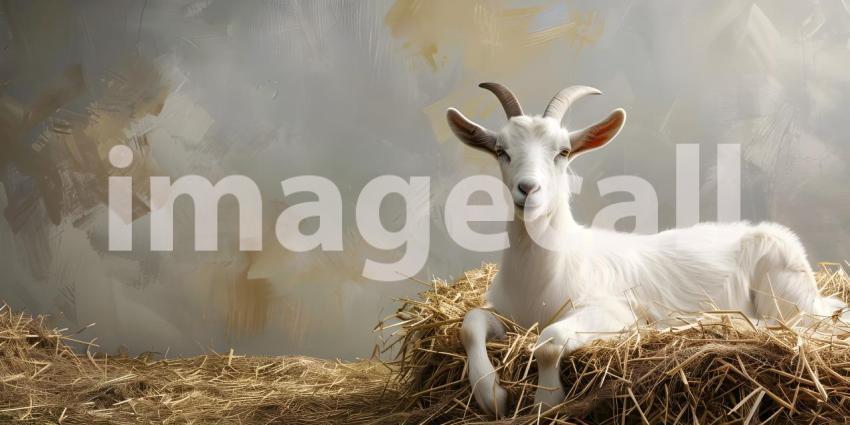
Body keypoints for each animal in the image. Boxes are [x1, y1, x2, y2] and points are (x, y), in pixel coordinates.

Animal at [446, 82, 847, 417]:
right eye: (501, 151)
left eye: (563, 151)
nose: (528, 189)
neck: (543, 271)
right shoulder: (511, 315)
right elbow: (470, 324)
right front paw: (492, 395)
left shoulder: (615, 314)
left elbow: (549, 340)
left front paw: (547, 400)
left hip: (784, 292)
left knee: (791, 325)